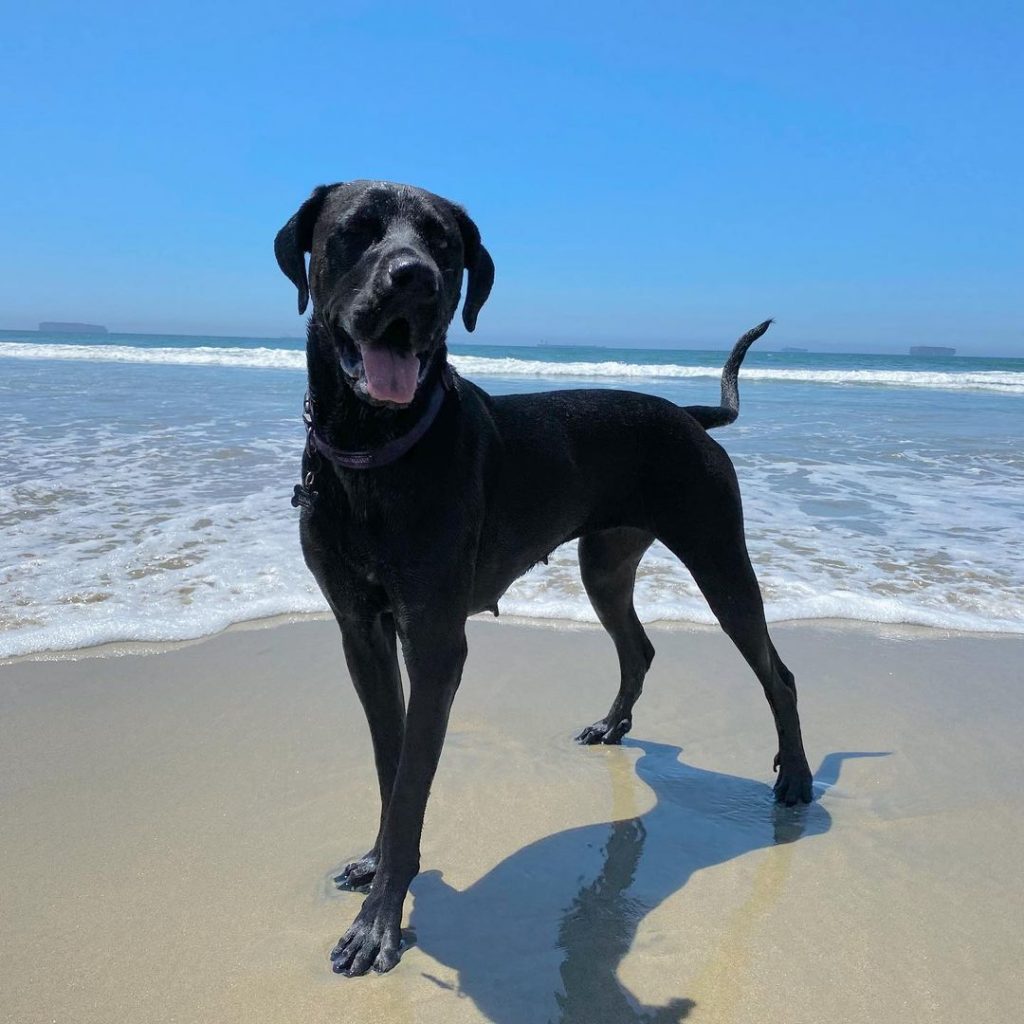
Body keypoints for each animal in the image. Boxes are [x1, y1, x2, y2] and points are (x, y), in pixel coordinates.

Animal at [276, 182, 811, 974]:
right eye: (357, 229)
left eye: (444, 244)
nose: (415, 280)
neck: (379, 450)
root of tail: (690, 416)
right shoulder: (360, 630)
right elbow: (388, 759)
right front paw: (376, 866)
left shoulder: (436, 641)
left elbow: (410, 783)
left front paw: (378, 923)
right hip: (607, 561)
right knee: (638, 646)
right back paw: (613, 724)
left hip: (717, 550)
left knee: (777, 670)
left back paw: (796, 779)